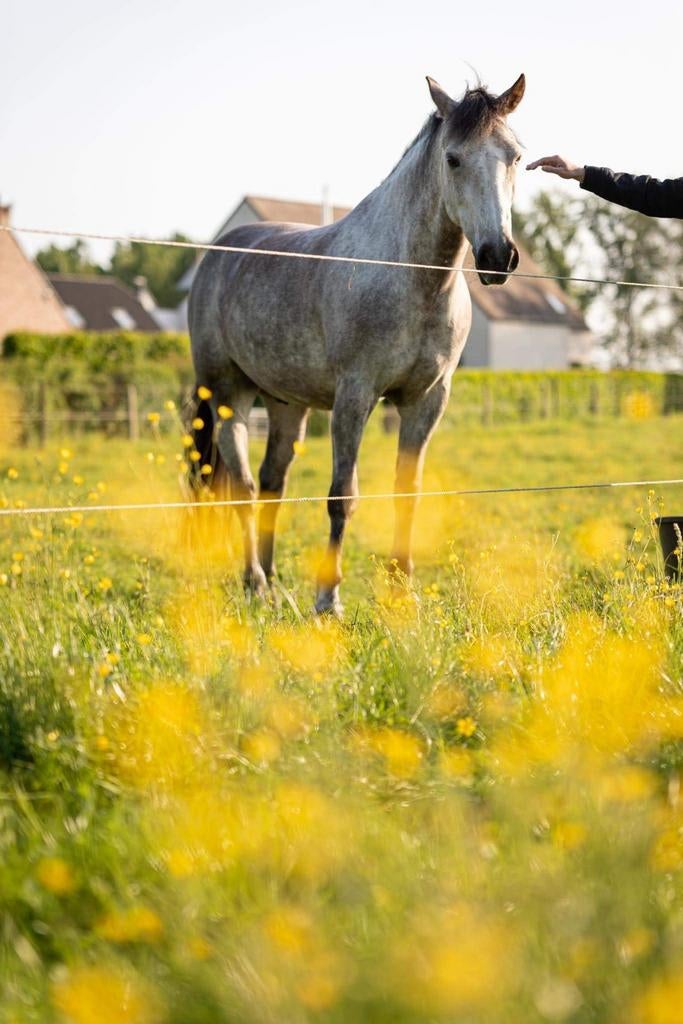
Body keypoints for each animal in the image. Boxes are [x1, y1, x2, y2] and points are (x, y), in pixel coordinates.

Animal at [189, 73, 526, 615]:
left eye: (514, 156)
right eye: (453, 158)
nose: (498, 257)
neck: (411, 279)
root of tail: (216, 255)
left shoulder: (425, 401)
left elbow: (407, 492)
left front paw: (402, 592)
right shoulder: (354, 397)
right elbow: (341, 496)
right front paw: (328, 599)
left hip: (286, 405)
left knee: (272, 481)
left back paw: (275, 581)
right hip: (227, 395)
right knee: (241, 486)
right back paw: (256, 582)